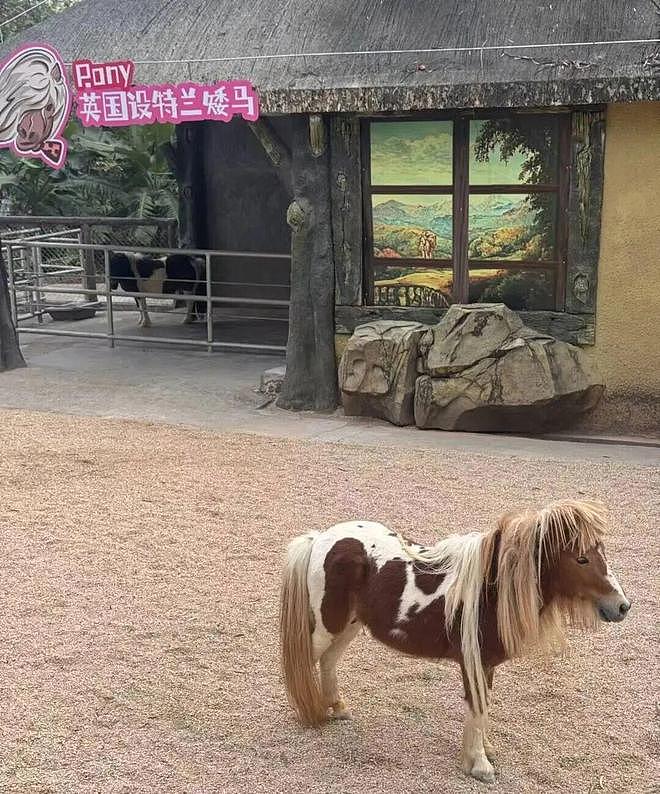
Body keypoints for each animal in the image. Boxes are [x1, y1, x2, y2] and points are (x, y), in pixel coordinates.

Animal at [279, 500, 630, 784]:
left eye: (601, 552)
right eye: (582, 559)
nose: (622, 606)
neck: (491, 589)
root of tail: (321, 538)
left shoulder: (486, 665)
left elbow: (483, 707)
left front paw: (483, 750)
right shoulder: (474, 662)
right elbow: (477, 707)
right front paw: (480, 765)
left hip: (348, 625)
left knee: (329, 661)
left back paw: (337, 708)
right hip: (328, 625)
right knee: (303, 662)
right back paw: (308, 712)